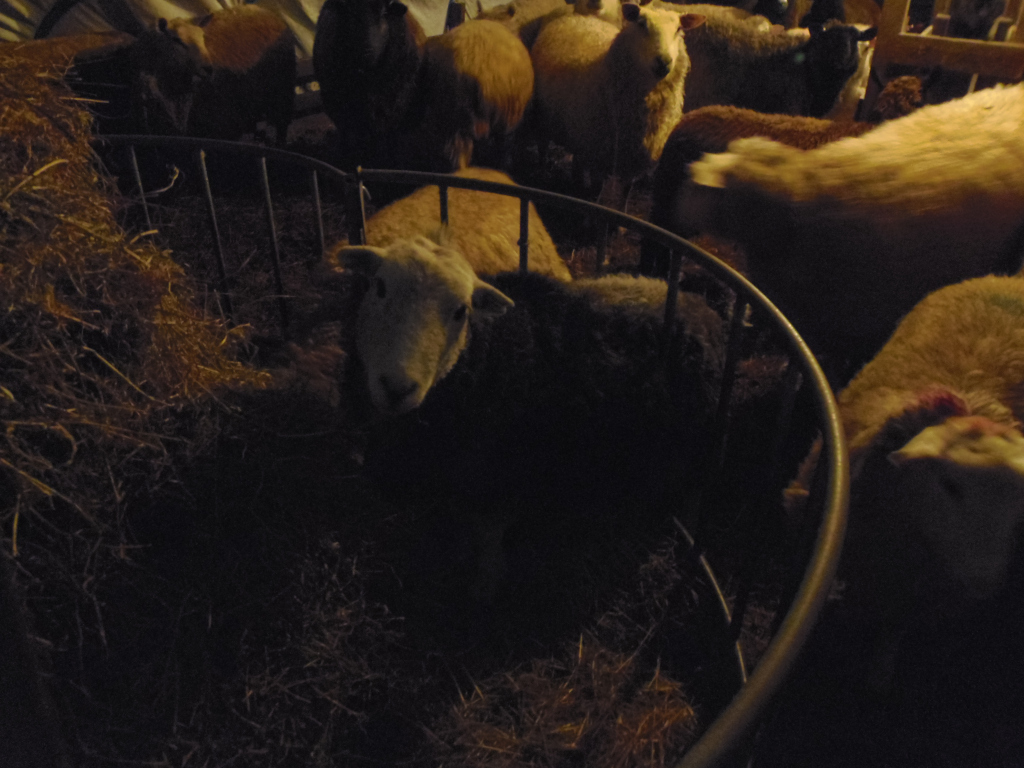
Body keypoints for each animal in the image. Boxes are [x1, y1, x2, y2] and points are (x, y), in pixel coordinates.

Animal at [313, 0, 427, 170]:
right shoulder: (341, 109)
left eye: (384, 13)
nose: (366, 54)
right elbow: (351, 138)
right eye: (351, 13)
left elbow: (385, 139)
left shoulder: (393, 107)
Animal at [328, 231, 724, 599]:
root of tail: (699, 305)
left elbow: (489, 537)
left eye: (461, 311)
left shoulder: (501, 475)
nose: (397, 388)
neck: (484, 355)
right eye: (379, 287)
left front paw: (485, 587)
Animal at [530, 3, 706, 205]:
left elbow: (625, 196)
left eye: (678, 29)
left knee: (577, 161)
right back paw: (543, 173)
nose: (663, 62)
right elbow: (596, 191)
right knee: (543, 148)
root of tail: (576, 17)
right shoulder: (599, 156)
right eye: (642, 24)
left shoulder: (632, 157)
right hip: (544, 118)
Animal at [784, 275, 1024, 692]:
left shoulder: (914, 590)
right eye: (950, 486)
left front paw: (880, 672)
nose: (987, 582)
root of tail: (1011, 278)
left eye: (1018, 500)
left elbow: (893, 627)